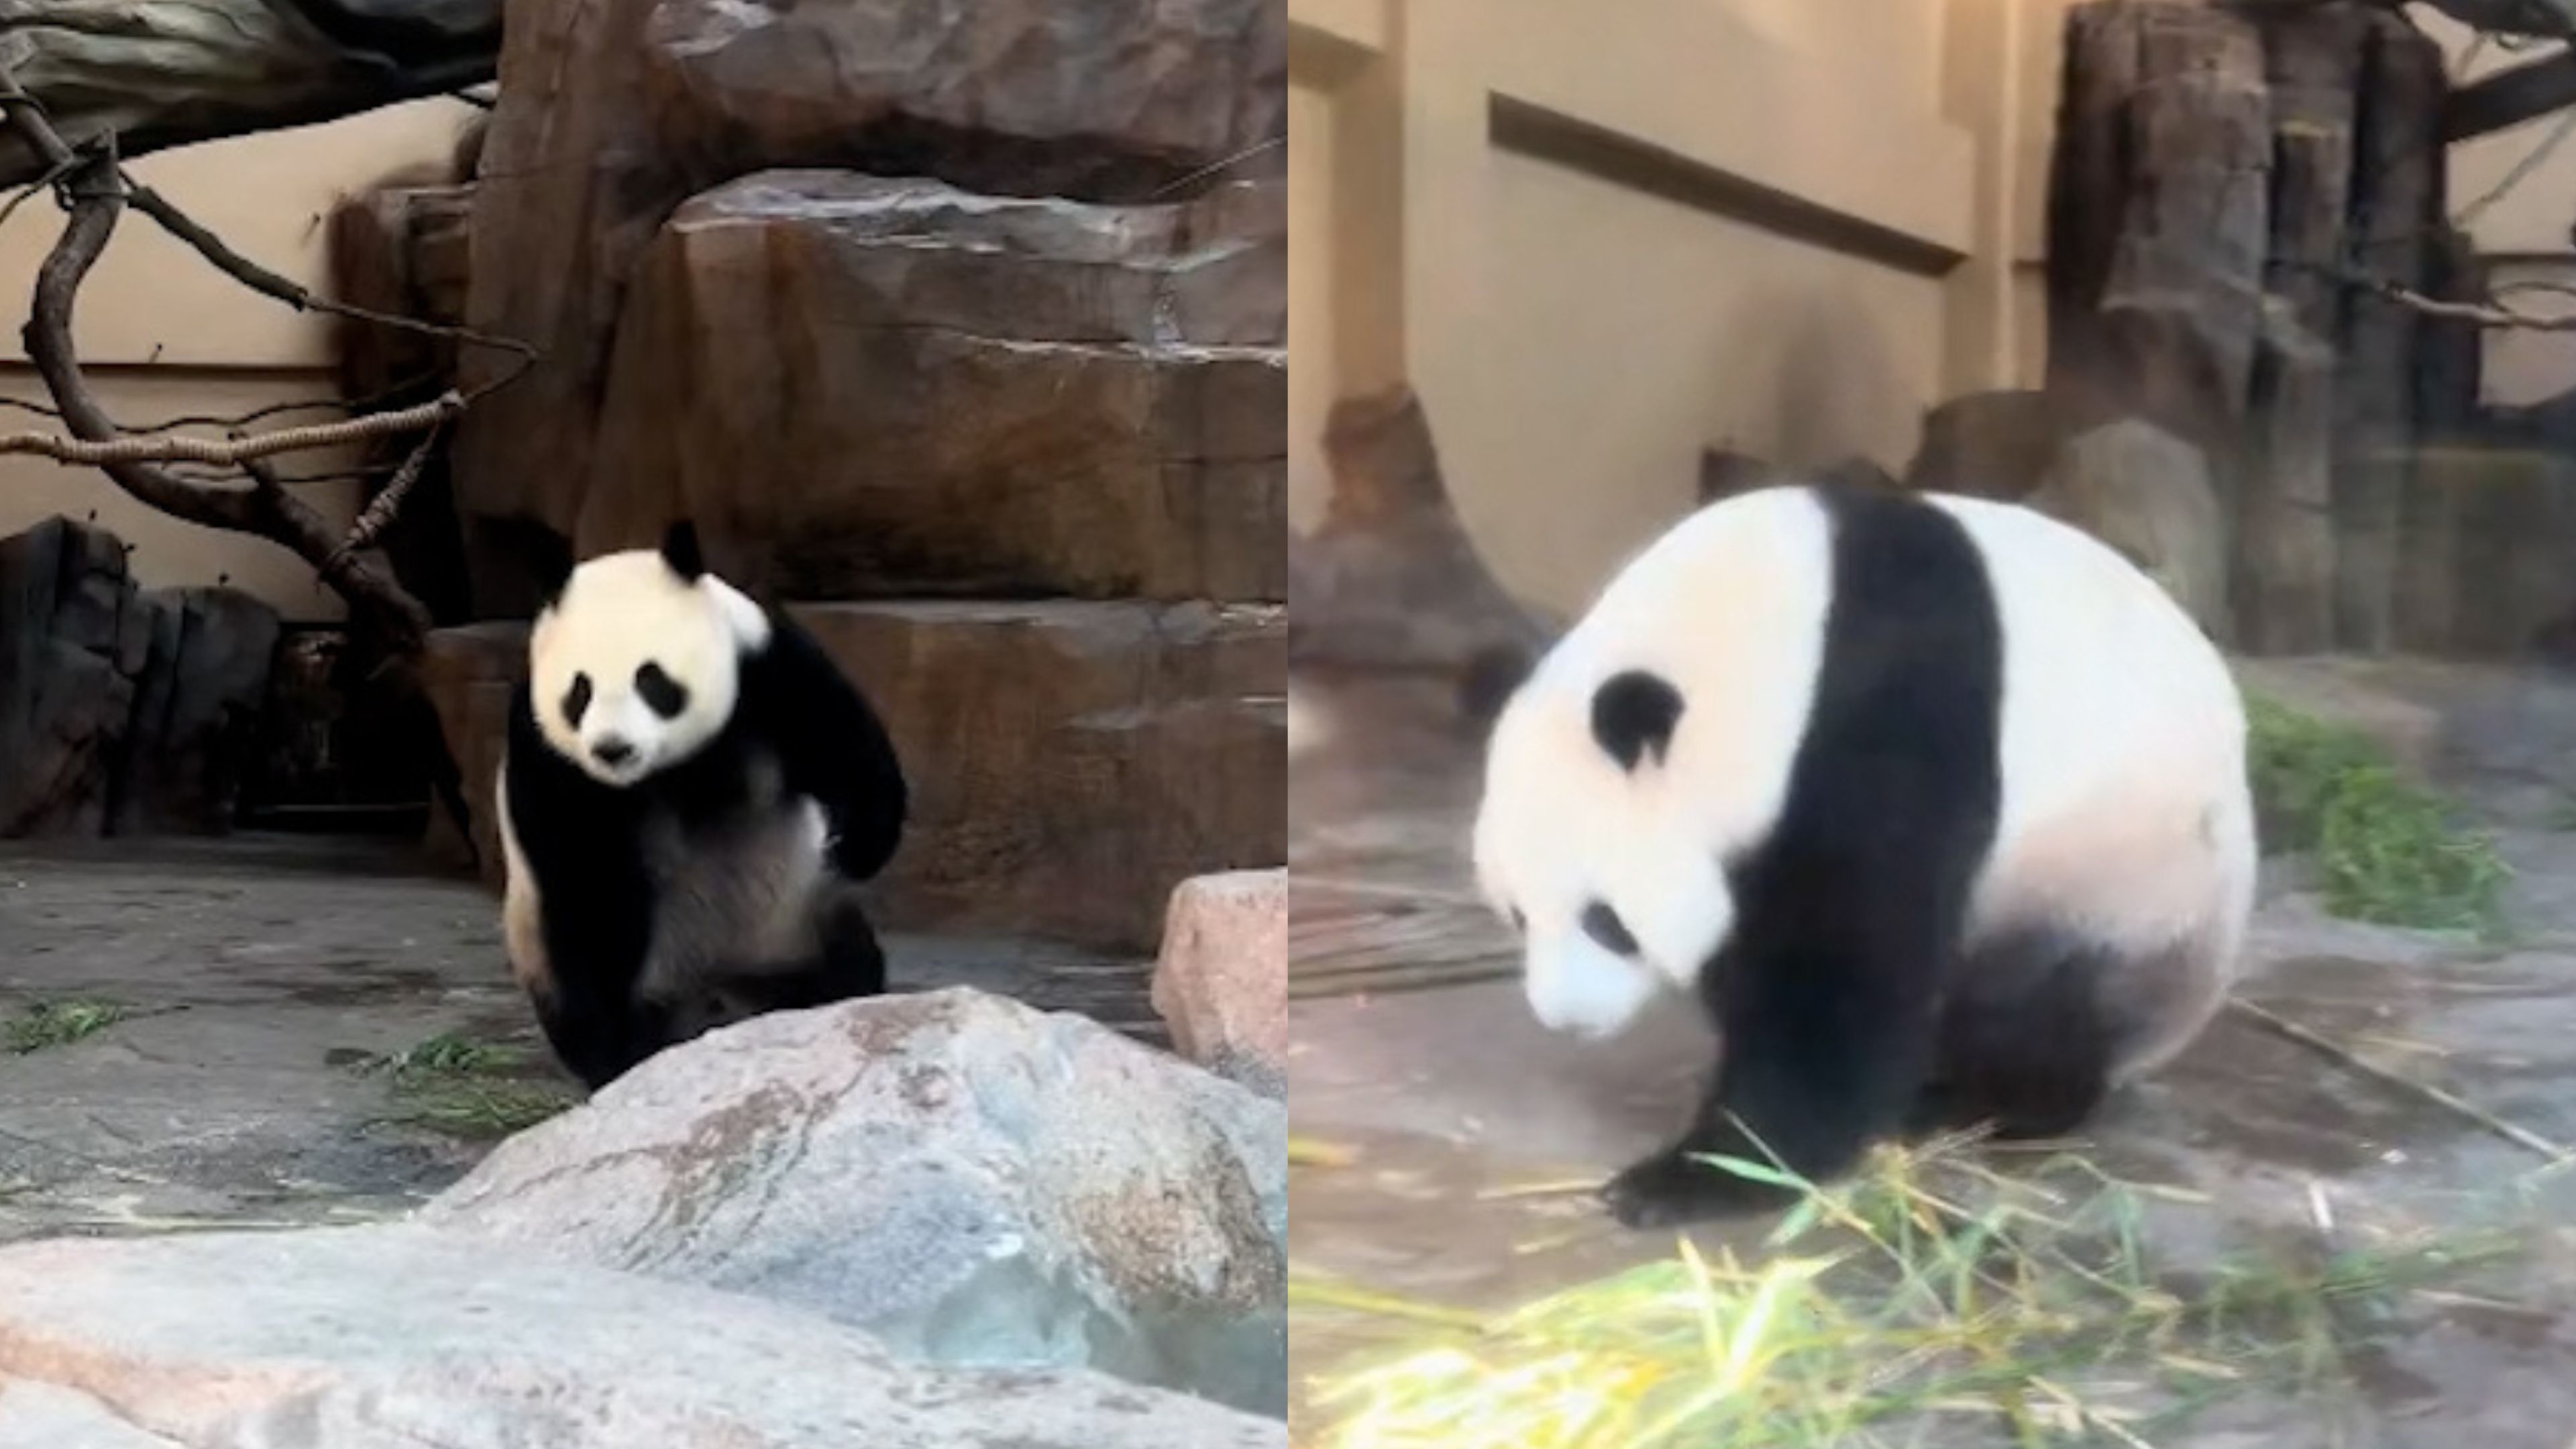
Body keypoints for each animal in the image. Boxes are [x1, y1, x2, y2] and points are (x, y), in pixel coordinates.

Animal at [496, 521, 908, 1090]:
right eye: (580, 691)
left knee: (849, 957)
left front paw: (857, 844)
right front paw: (618, 1049)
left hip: (797, 917)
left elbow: (843, 746)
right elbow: (589, 881)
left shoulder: (765, 669)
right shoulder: (549, 756)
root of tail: (716, 997)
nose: (612, 748)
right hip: (541, 945)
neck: (672, 767)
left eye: (651, 679)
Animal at [1472, 482, 2256, 1228]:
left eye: (1607, 921)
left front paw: (1691, 1177)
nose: (1567, 1019)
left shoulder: (1879, 727)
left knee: (2039, 1009)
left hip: (2125, 888)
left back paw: (1980, 1101)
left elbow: (1841, 973)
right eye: (1518, 915)